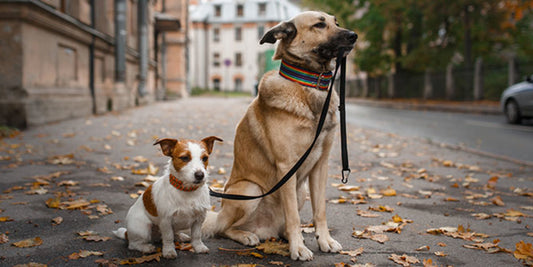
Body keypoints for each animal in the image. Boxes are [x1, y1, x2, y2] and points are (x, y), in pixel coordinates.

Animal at [202, 11, 356, 262]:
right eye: (319, 24)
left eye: (337, 23)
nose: (354, 36)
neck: (308, 84)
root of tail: (266, 230)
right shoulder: (287, 166)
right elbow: (293, 215)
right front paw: (298, 248)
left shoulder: (320, 167)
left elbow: (320, 211)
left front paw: (324, 240)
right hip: (251, 190)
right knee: (223, 229)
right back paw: (246, 235)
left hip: (300, 190)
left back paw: (283, 234)